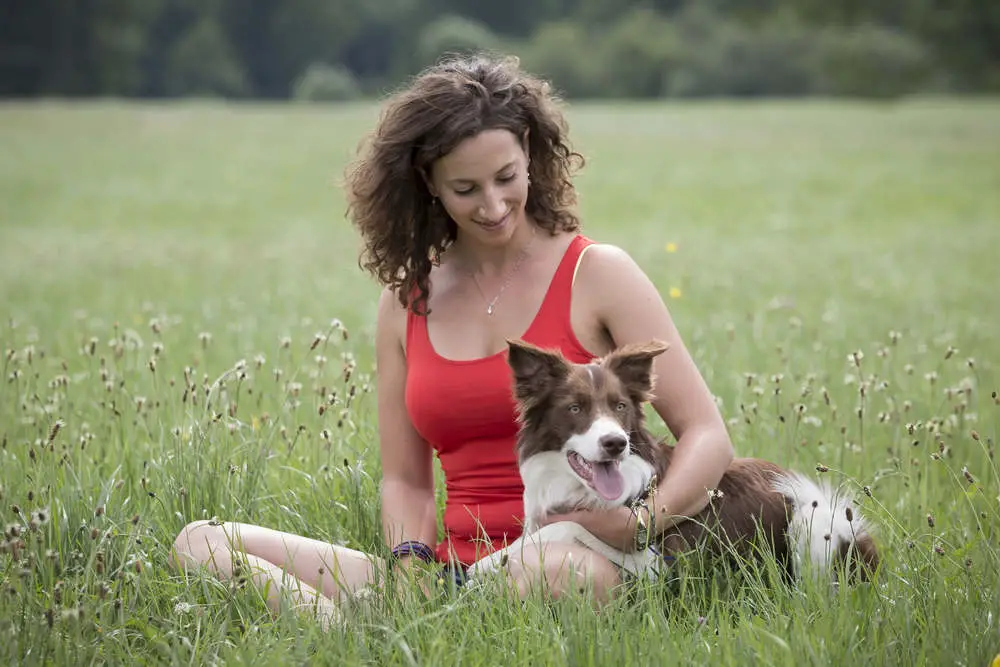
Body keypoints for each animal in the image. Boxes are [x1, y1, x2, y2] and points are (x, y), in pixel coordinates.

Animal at [464, 340, 880, 584]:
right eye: (575, 408)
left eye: (620, 406)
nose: (615, 443)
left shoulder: (656, 562)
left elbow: (569, 526)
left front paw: (484, 565)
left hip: (814, 519)